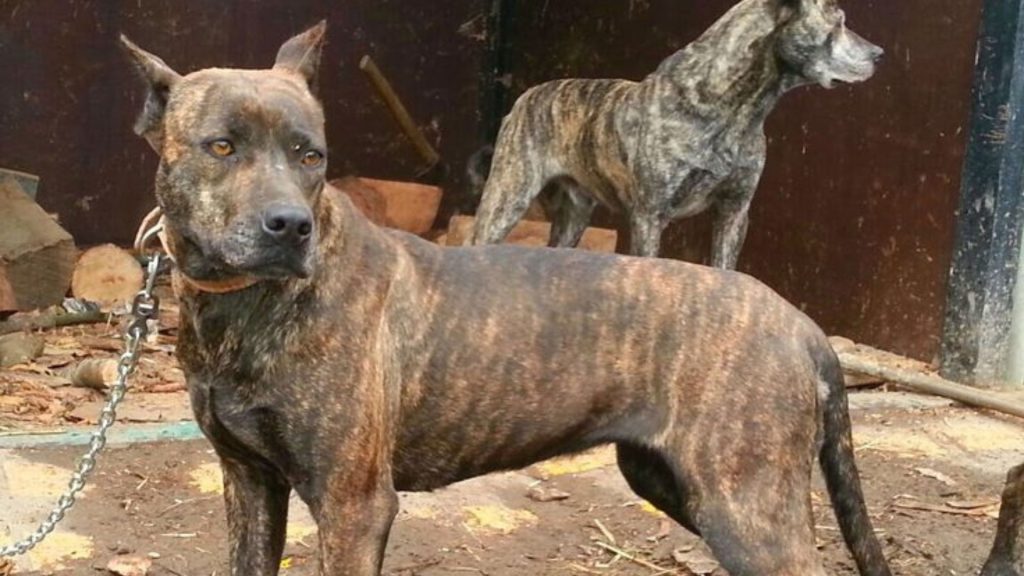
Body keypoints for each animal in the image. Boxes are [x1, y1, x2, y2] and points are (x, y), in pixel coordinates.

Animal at [468, 0, 884, 266]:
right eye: (838, 22)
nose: (878, 53)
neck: (736, 107)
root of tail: (525, 97)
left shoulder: (734, 212)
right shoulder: (649, 216)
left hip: (573, 214)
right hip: (506, 198)